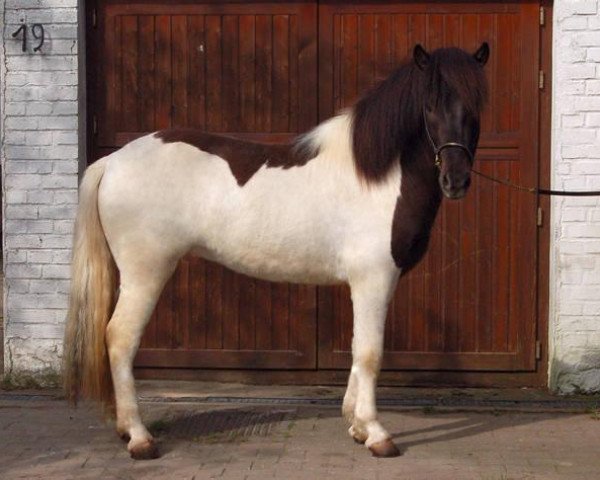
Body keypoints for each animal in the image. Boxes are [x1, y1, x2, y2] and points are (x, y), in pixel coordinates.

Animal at [63, 43, 490, 460]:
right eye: (429, 106)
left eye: (476, 106)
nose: (455, 180)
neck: (376, 177)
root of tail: (112, 161)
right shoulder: (373, 279)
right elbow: (370, 353)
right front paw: (377, 434)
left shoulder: (371, 283)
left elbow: (357, 350)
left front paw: (356, 426)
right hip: (146, 273)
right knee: (120, 339)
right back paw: (139, 438)